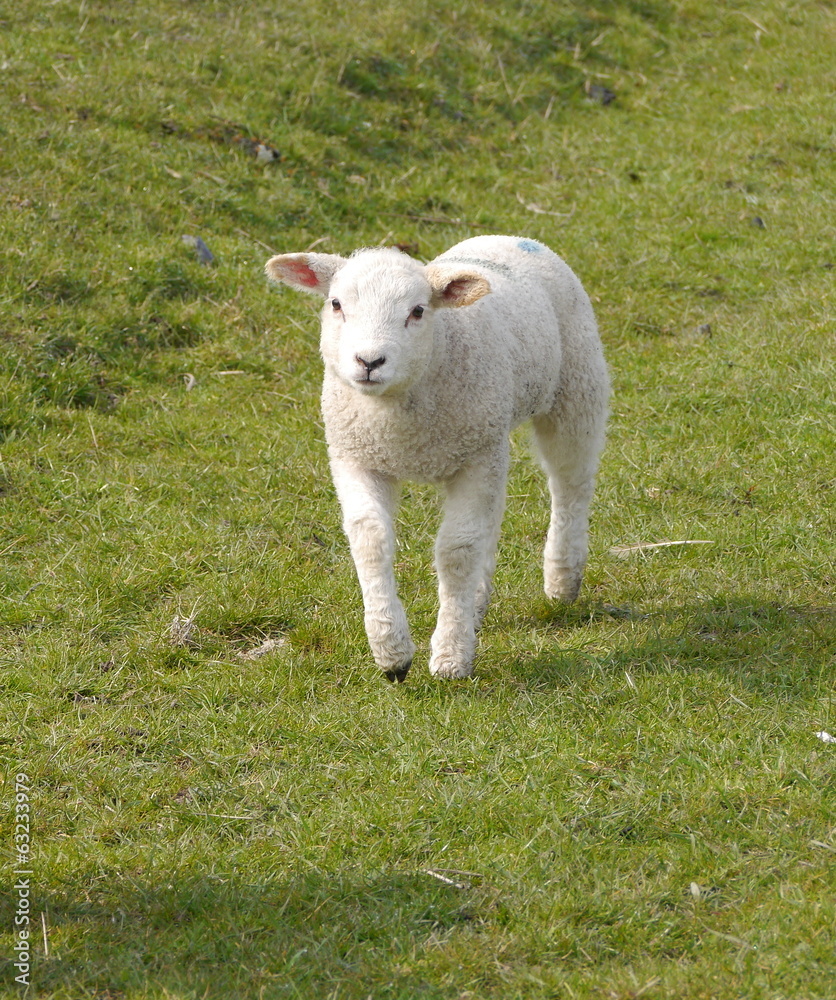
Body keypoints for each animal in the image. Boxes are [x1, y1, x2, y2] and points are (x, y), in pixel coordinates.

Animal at [265, 235, 609, 681]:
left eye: (417, 311)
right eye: (336, 304)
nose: (369, 362)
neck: (400, 426)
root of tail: (509, 238)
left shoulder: (473, 460)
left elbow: (456, 550)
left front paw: (451, 656)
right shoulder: (355, 456)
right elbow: (371, 537)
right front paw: (391, 651)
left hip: (575, 390)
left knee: (570, 483)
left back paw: (562, 579)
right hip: (492, 436)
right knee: (494, 515)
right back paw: (478, 602)